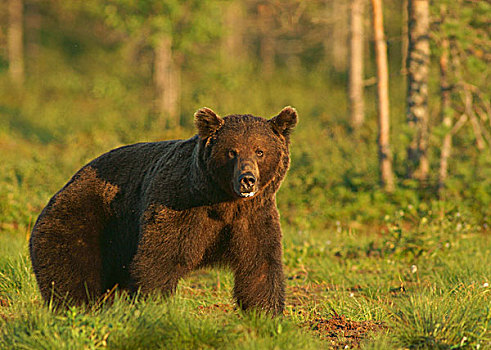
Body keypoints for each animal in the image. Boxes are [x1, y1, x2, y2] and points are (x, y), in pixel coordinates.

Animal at [31, 106, 300, 314]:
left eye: (260, 151)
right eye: (232, 151)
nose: (247, 180)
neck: (223, 202)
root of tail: (66, 184)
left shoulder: (253, 216)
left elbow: (260, 265)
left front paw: (265, 314)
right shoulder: (178, 205)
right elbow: (159, 261)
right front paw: (153, 307)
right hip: (84, 219)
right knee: (71, 272)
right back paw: (75, 308)